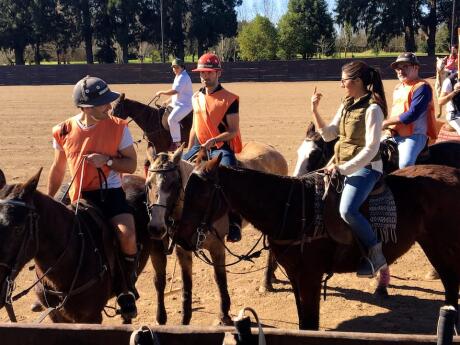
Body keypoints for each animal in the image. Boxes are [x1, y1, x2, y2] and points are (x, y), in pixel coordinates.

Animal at [174, 157, 460, 330]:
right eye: (185, 191)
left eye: (201, 194)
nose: (180, 238)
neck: (290, 208)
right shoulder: (294, 275)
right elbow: (303, 322)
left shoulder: (310, 277)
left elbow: (310, 322)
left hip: (443, 245)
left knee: (451, 283)